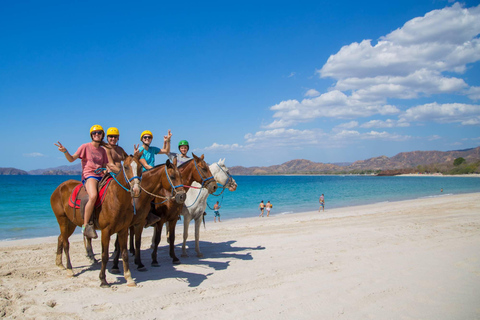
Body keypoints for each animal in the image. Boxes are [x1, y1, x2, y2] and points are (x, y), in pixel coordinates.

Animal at [51, 152, 144, 288]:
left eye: (140, 167)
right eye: (126, 167)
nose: (136, 190)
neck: (116, 198)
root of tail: (59, 188)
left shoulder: (123, 230)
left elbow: (124, 254)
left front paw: (129, 278)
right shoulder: (106, 231)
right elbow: (104, 255)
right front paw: (103, 280)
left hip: (71, 223)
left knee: (61, 238)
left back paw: (59, 263)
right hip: (62, 220)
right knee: (66, 244)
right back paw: (69, 269)